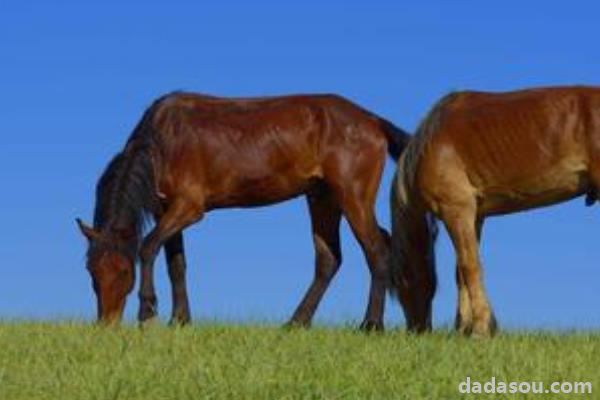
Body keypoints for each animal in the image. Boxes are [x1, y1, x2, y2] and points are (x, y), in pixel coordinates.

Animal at [77, 92, 410, 330]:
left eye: (124, 271)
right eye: (92, 272)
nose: (106, 324)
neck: (164, 140)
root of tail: (371, 120)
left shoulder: (189, 207)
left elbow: (147, 247)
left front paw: (147, 311)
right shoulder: (166, 211)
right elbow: (176, 264)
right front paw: (180, 320)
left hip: (353, 197)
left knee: (377, 251)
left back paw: (371, 324)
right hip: (322, 199)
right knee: (329, 260)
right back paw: (296, 323)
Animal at [390, 86, 600, 338]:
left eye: (402, 282)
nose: (417, 330)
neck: (430, 144)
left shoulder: (456, 210)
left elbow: (470, 266)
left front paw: (480, 329)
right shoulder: (474, 216)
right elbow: (461, 272)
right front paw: (463, 329)